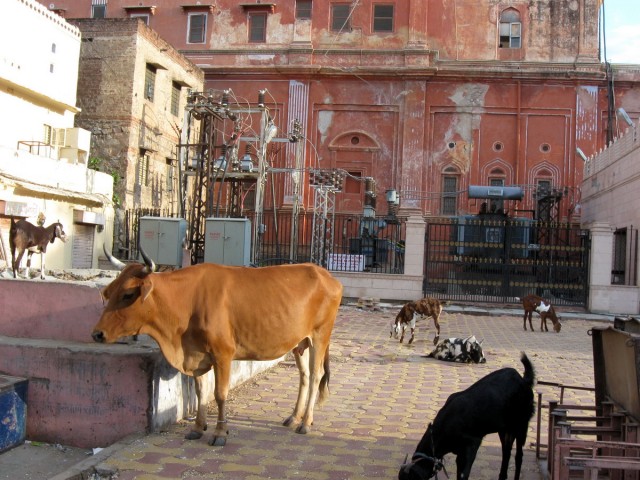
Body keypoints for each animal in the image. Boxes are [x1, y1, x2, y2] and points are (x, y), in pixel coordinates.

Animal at [91, 247, 343, 447]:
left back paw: (306, 422)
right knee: (304, 376)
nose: (97, 334)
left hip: (320, 336)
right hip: (299, 342)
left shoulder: (223, 354)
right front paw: (197, 427)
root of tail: (325, 275)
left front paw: (220, 432)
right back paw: (294, 417)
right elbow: (200, 391)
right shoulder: (196, 354)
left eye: (128, 294)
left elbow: (220, 394)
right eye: (109, 291)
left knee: (316, 376)